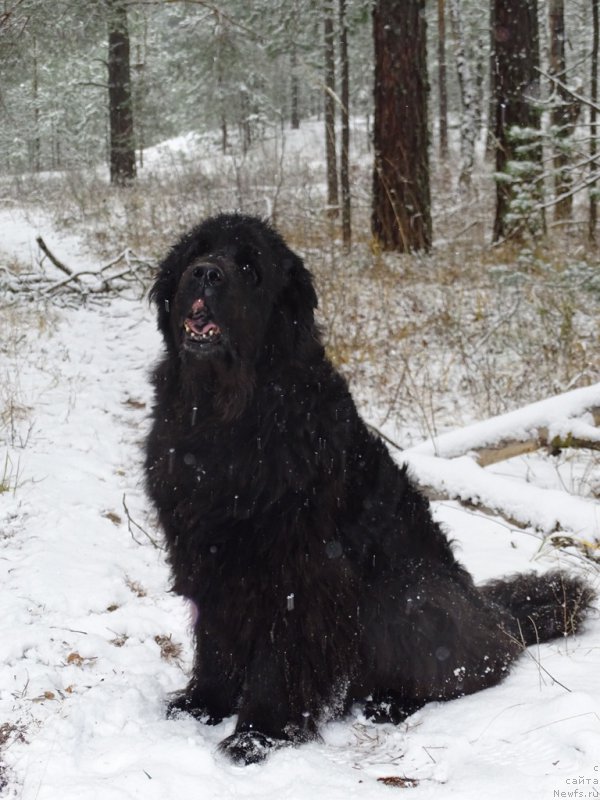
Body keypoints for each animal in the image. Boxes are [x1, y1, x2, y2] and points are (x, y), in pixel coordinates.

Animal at [144, 212, 592, 764]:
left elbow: (276, 659)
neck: (225, 417)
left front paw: (259, 733)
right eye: (197, 252)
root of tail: (493, 614)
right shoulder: (207, 557)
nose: (206, 274)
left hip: (410, 594)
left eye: (249, 267)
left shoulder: (295, 572)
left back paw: (391, 702)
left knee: (473, 669)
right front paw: (202, 704)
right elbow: (215, 642)